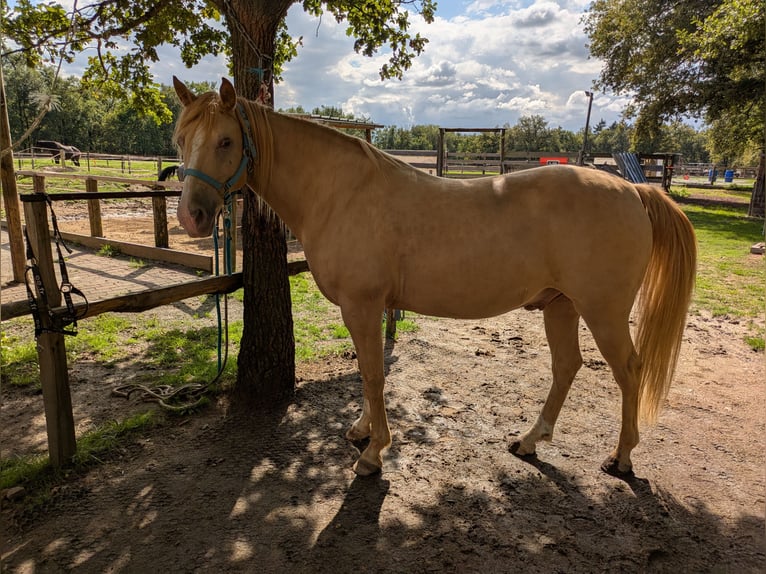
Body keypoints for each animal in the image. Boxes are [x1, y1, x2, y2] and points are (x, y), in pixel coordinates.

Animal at [172, 77, 697, 478]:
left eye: (225, 141)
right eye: (180, 139)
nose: (192, 217)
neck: (339, 193)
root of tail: (634, 190)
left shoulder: (362, 306)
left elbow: (373, 373)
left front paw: (373, 453)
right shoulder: (362, 310)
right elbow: (368, 373)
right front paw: (362, 430)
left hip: (602, 311)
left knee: (629, 371)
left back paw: (621, 458)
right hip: (560, 305)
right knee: (567, 366)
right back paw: (529, 441)